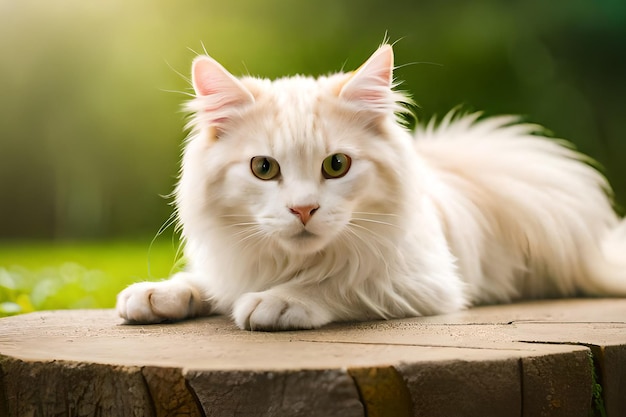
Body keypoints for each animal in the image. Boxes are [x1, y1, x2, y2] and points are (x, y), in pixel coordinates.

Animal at [116, 44, 624, 330]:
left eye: (336, 165)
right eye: (263, 168)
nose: (304, 210)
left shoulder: (426, 282)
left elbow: (339, 282)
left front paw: (278, 300)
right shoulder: (231, 263)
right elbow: (202, 282)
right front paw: (156, 295)